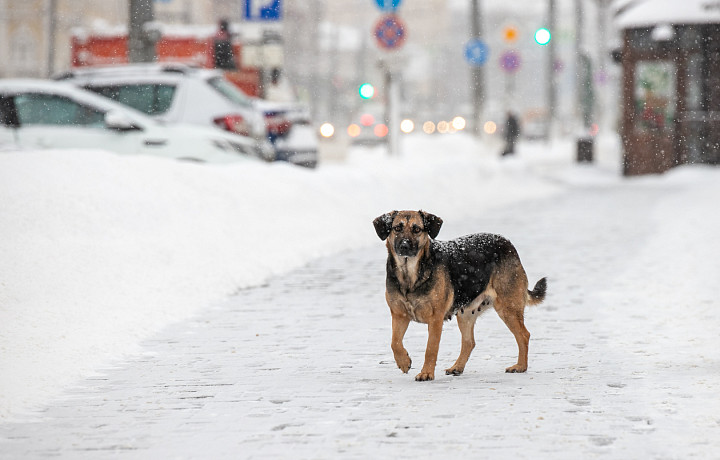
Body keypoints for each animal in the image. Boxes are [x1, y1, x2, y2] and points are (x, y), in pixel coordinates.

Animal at [374, 210, 544, 380]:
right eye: (397, 228)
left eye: (417, 229)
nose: (404, 246)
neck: (409, 274)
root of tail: (508, 244)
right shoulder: (399, 315)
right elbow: (395, 342)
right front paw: (403, 361)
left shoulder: (435, 319)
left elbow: (431, 348)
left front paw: (426, 373)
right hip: (466, 313)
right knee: (469, 342)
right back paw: (457, 367)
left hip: (508, 308)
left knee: (524, 335)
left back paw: (520, 366)